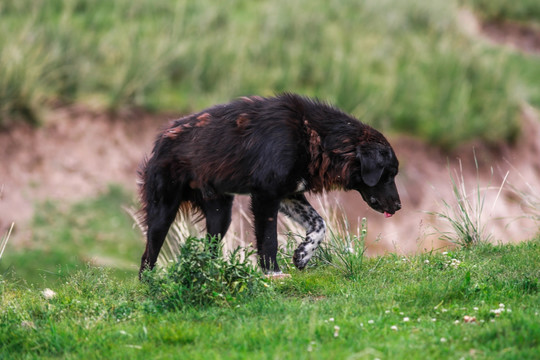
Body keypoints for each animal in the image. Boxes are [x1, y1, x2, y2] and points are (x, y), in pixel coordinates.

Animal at [138, 93, 400, 276]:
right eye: (388, 175)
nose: (398, 206)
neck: (314, 135)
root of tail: (162, 138)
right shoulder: (266, 196)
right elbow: (269, 240)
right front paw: (273, 272)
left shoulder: (288, 195)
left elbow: (320, 224)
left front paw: (303, 255)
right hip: (163, 212)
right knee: (147, 256)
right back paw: (150, 283)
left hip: (220, 215)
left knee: (209, 251)